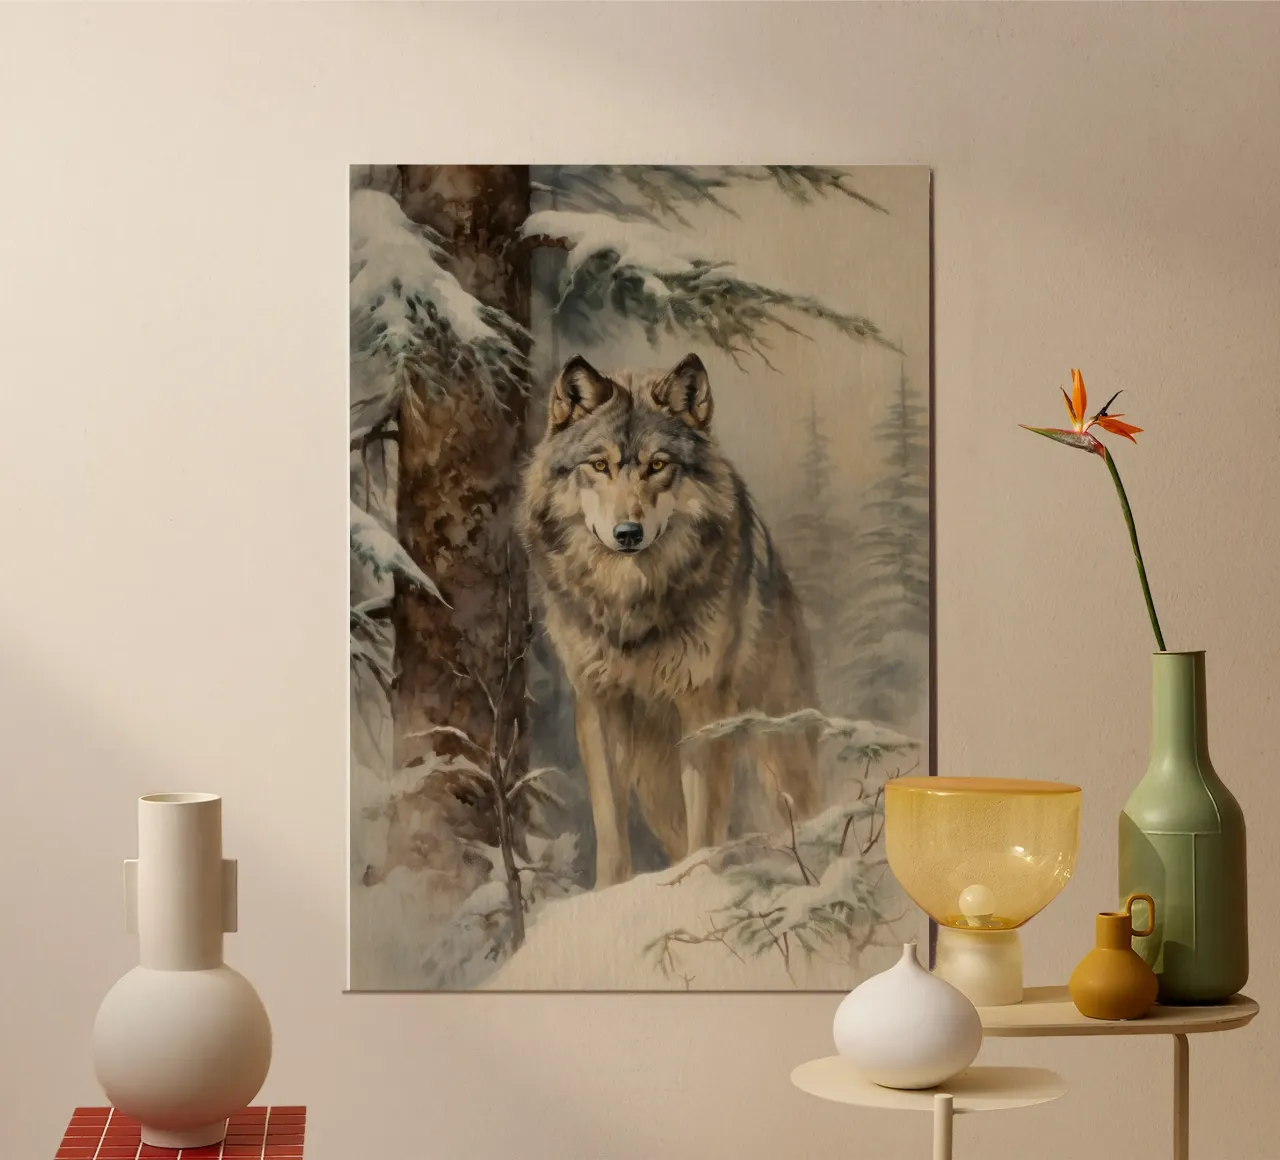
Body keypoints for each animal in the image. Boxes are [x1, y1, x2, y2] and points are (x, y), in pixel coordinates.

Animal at [518, 352, 821, 888]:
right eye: (600, 465)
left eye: (658, 466)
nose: (628, 532)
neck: (632, 604)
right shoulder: (599, 705)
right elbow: (610, 826)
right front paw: (610, 894)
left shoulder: (704, 706)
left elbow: (706, 826)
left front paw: (701, 888)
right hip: (654, 783)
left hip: (780, 747)